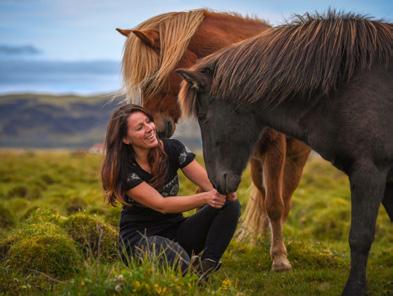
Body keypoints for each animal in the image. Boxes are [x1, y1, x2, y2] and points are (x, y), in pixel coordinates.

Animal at [115, 8, 310, 270]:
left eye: (152, 80)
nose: (155, 128)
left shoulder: (275, 147)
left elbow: (275, 206)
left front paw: (279, 258)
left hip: (295, 158)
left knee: (284, 199)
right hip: (256, 163)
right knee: (262, 193)